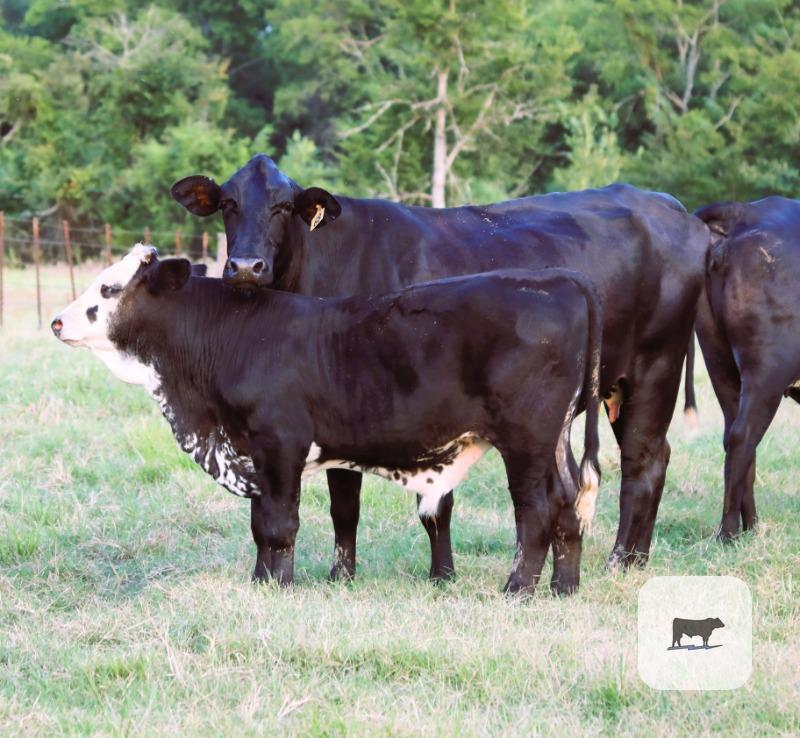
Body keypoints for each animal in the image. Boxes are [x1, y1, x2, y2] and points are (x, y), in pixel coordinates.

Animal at [51, 245, 603, 593]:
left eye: (109, 287)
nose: (57, 321)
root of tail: (559, 278)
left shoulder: (280, 443)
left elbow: (279, 525)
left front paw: (280, 585)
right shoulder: (254, 453)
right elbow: (261, 524)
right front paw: (260, 581)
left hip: (526, 440)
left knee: (536, 510)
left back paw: (518, 588)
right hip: (554, 439)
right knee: (569, 502)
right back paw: (564, 587)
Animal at [171, 154, 708, 577]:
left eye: (283, 207)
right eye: (228, 204)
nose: (245, 267)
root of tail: (670, 206)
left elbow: (432, 505)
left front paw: (441, 574)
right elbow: (344, 503)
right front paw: (342, 575)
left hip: (654, 368)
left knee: (643, 463)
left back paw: (624, 560)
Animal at [695, 197, 800, 540]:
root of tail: (746, 211)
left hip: (719, 359)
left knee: (735, 437)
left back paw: (750, 527)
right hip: (768, 367)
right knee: (742, 436)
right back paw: (728, 532)